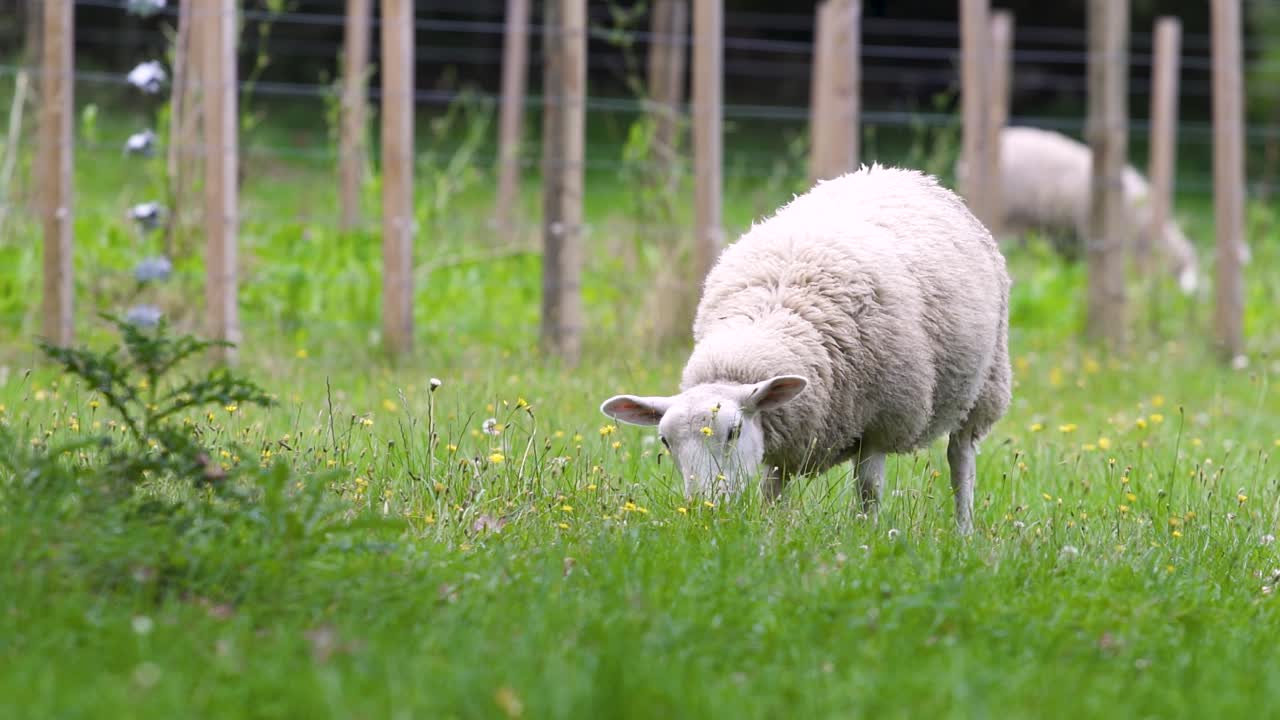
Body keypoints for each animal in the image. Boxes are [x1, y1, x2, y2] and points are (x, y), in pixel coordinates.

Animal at [600, 164, 1011, 534]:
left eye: (733, 432)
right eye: (665, 441)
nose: (705, 509)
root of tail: (895, 171)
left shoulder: (880, 421)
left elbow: (869, 490)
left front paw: (869, 537)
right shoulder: (783, 434)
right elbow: (772, 492)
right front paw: (771, 533)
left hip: (985, 385)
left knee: (960, 460)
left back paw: (963, 531)